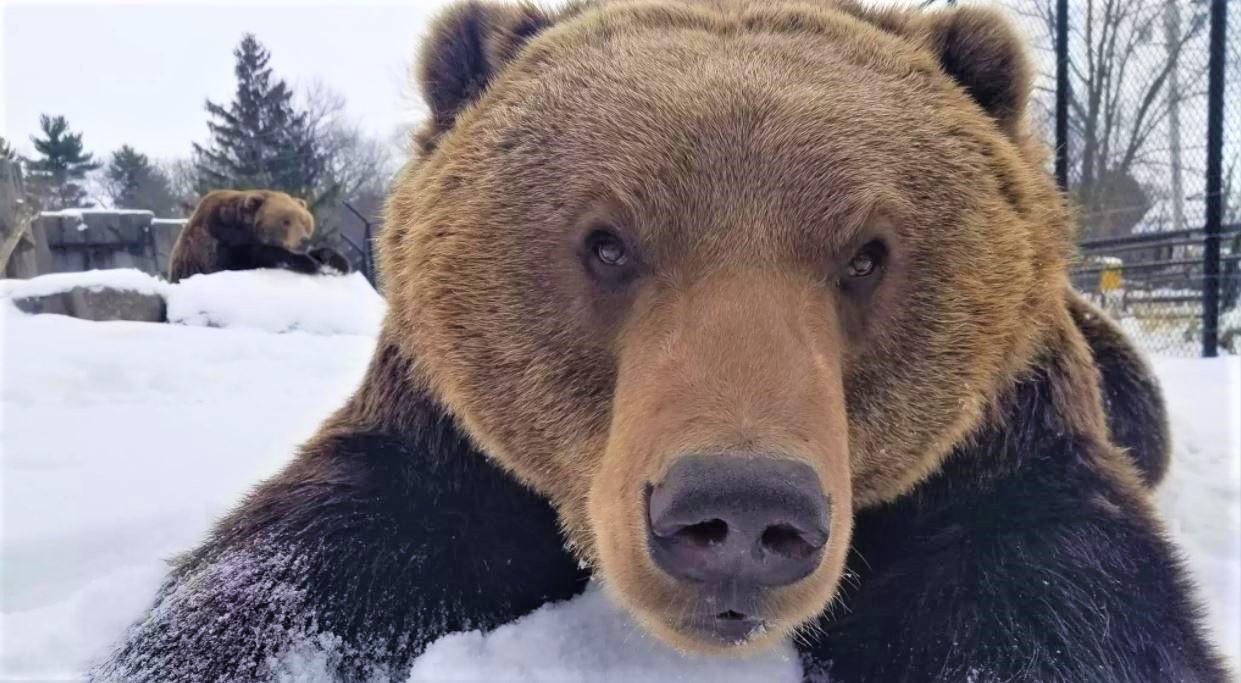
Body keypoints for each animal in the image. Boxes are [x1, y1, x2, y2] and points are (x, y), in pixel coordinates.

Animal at [167, 189, 352, 283]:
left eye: (305, 221)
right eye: (285, 221)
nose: (304, 240)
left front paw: (336, 261)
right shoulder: (218, 236)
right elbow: (245, 257)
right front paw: (308, 262)